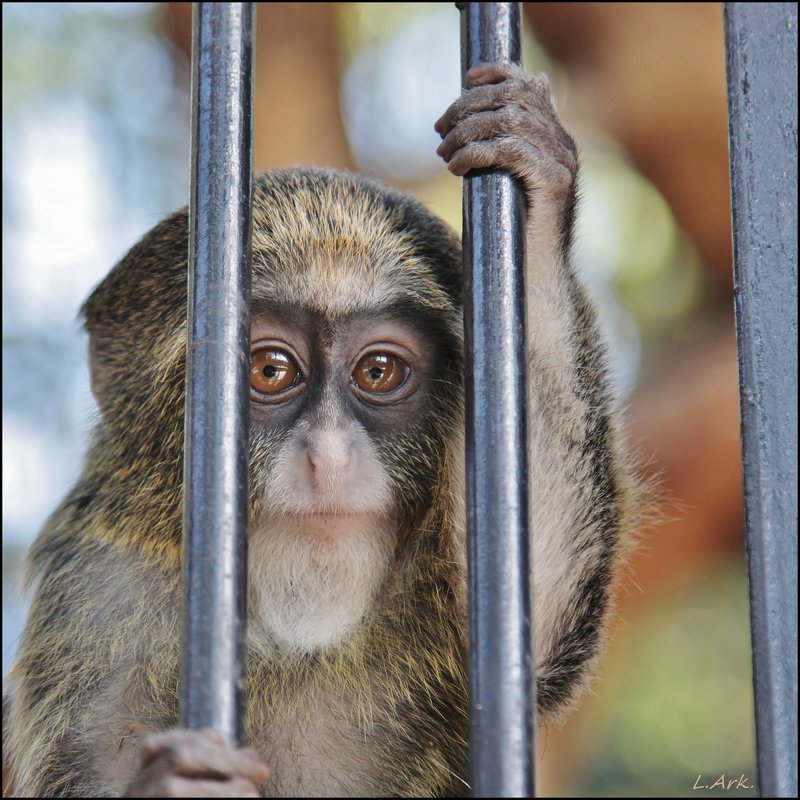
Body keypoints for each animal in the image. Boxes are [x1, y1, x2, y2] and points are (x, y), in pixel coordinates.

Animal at [1, 64, 636, 800]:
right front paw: (177, 782)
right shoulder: (95, 589)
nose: (329, 458)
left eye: (379, 370)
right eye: (271, 370)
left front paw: (533, 199)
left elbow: (540, 625)